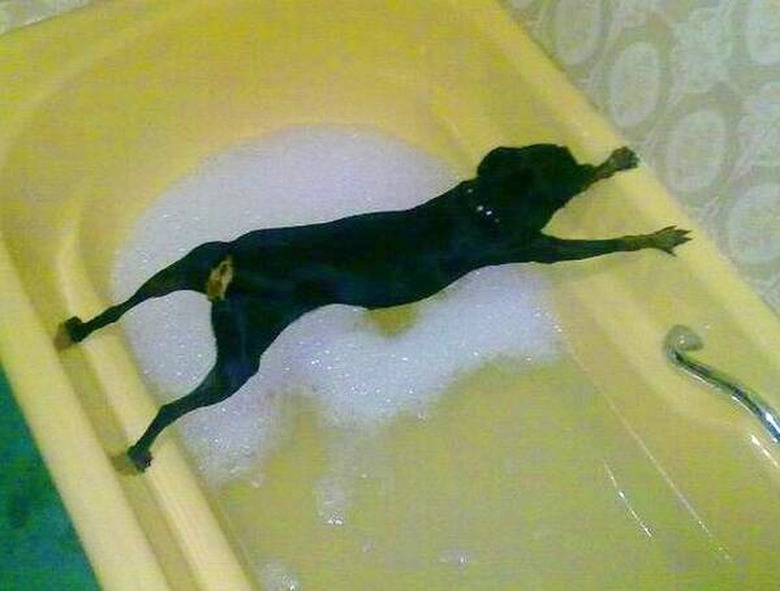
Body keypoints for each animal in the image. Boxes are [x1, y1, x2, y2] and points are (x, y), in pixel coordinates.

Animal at [59, 145, 688, 472]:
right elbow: (604, 243)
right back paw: (140, 449)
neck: (482, 203)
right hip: (241, 357)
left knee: (123, 305)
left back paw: (79, 328)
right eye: (562, 164)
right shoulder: (537, 247)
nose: (577, 159)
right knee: (172, 406)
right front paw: (650, 232)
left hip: (189, 262)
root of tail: (232, 269)